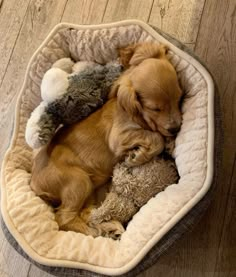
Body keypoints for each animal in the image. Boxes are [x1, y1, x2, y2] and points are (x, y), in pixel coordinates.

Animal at [30, 42, 183, 236]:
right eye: (155, 108)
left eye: (179, 98)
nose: (176, 128)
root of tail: (34, 183)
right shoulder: (118, 138)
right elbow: (155, 137)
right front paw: (137, 157)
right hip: (78, 181)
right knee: (64, 218)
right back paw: (93, 232)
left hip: (87, 189)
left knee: (87, 213)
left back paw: (108, 227)